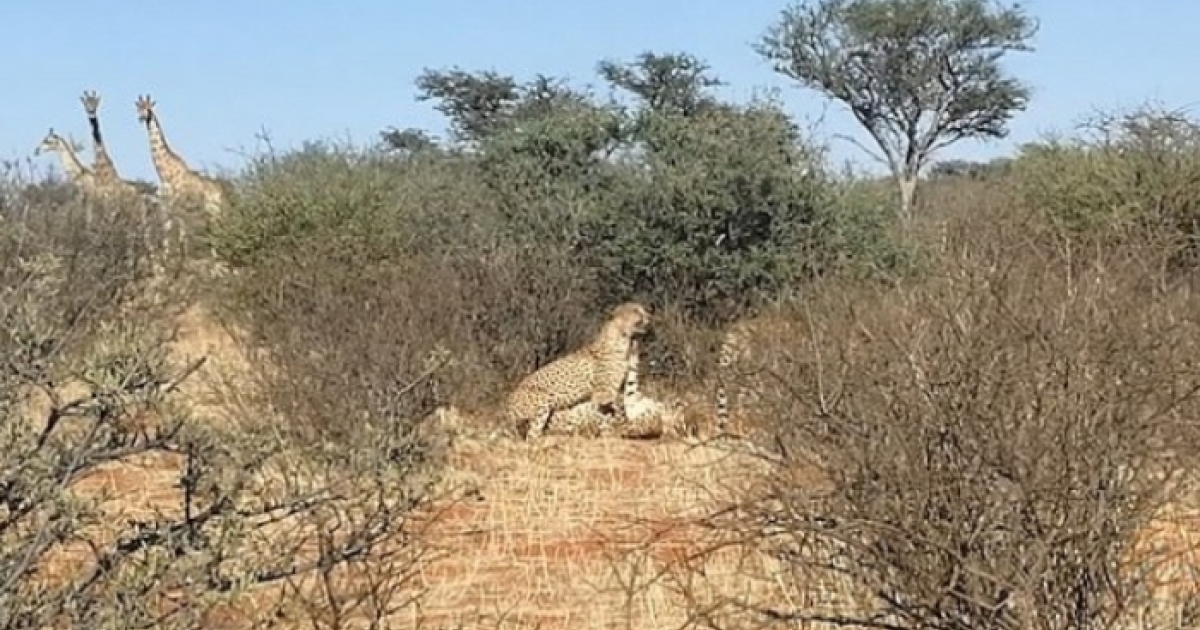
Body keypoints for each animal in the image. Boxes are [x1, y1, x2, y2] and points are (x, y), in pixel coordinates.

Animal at [506, 301, 651, 440]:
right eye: (636, 310)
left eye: (642, 310)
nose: (649, 316)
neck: (626, 339)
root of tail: (507, 409)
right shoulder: (603, 393)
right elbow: (609, 409)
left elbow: (616, 408)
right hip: (541, 403)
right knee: (531, 436)